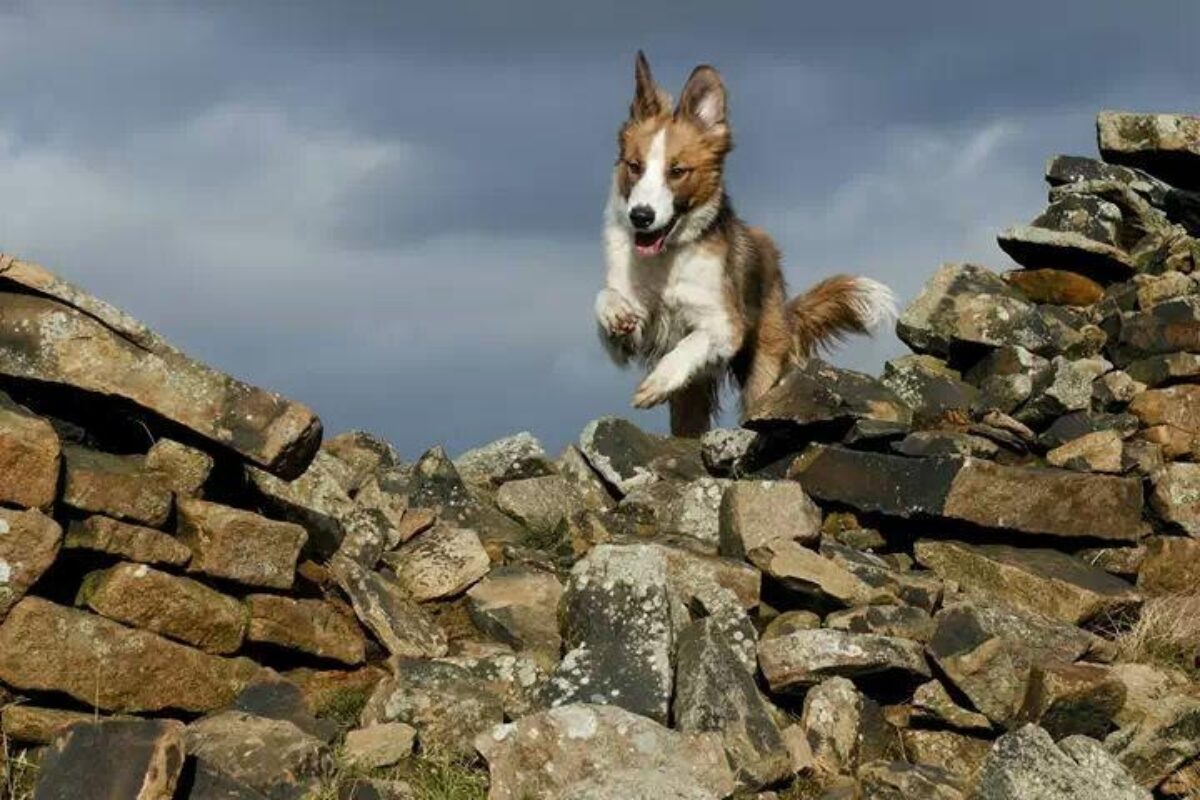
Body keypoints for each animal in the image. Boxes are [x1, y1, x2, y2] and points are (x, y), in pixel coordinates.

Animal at [595, 52, 897, 434]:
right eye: (634, 166)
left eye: (677, 171)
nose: (641, 216)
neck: (667, 258)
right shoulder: (629, 341)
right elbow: (605, 302)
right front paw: (615, 311)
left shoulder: (726, 325)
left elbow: (693, 340)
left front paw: (660, 380)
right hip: (691, 398)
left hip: (763, 369)